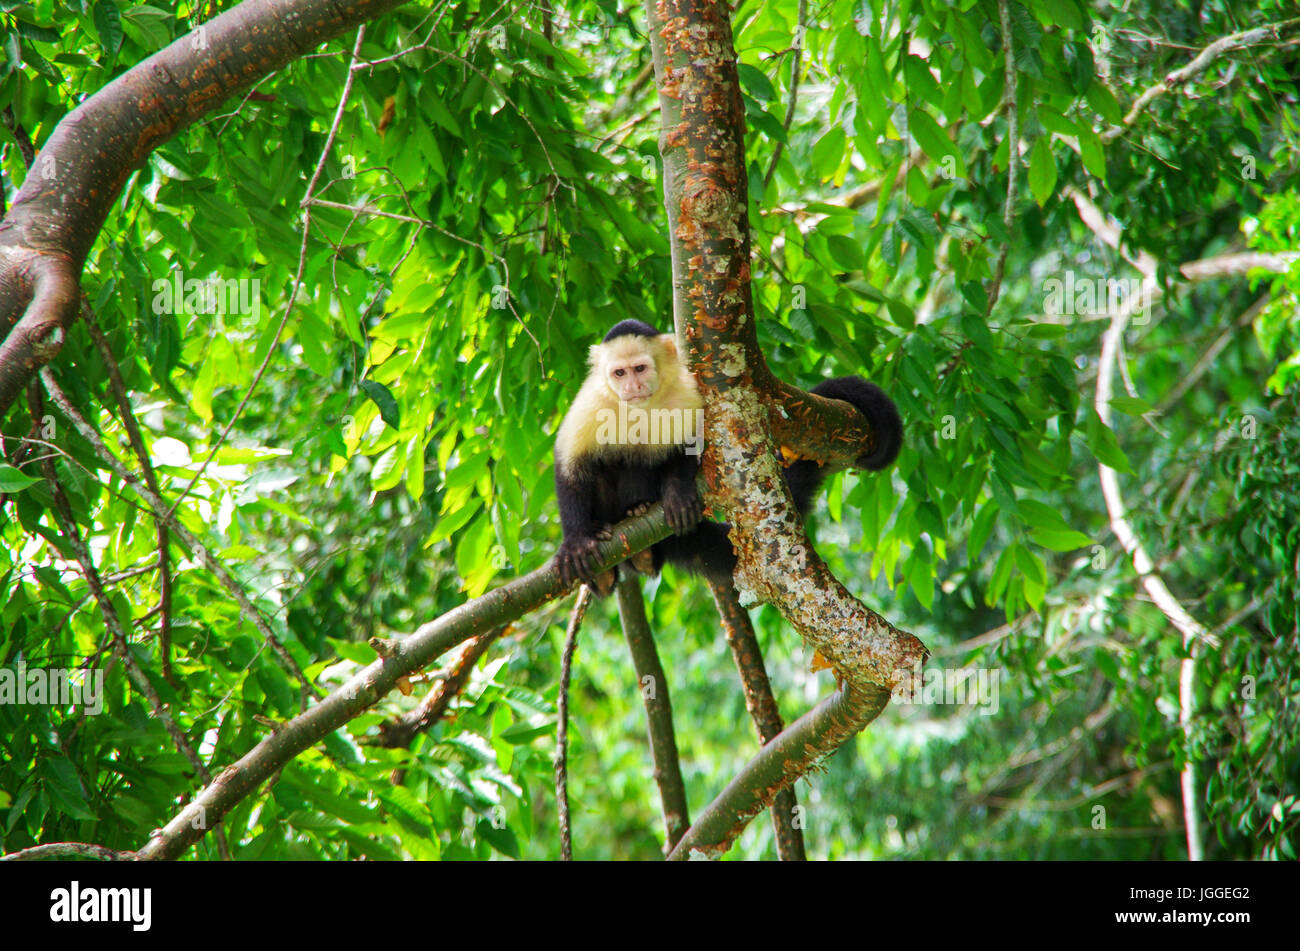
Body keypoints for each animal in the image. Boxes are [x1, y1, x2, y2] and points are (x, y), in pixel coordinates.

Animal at [552, 319, 902, 593]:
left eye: (640, 369)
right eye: (619, 373)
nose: (632, 387)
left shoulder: (686, 395)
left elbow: (688, 448)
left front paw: (677, 493)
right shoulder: (593, 401)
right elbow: (570, 463)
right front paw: (576, 542)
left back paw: (640, 524)